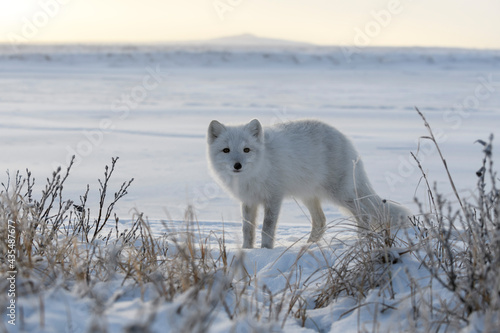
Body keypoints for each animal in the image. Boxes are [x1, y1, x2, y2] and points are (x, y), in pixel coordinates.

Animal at [207, 118, 410, 246]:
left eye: (246, 149)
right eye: (226, 150)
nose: (237, 165)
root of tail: (345, 139)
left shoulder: (274, 198)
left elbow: (267, 228)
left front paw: (265, 250)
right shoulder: (249, 201)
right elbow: (247, 231)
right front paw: (247, 251)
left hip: (339, 194)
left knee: (364, 215)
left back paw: (361, 240)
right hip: (309, 195)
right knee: (321, 221)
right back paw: (308, 246)